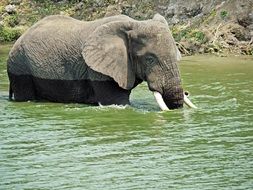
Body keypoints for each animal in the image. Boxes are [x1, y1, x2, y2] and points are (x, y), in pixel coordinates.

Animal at [5, 13, 196, 110]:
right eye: (149, 59)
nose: (187, 93)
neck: (133, 24)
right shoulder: (98, 70)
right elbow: (117, 101)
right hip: (19, 66)